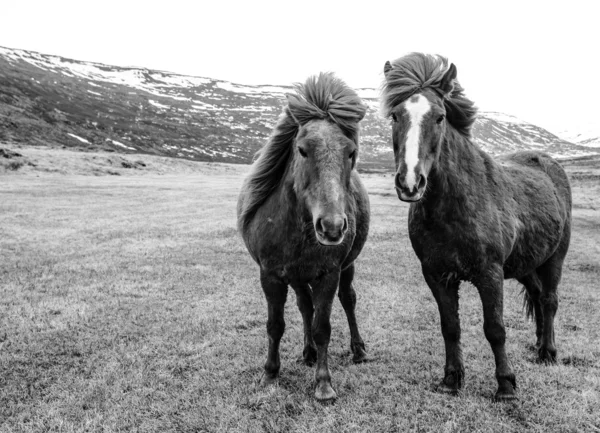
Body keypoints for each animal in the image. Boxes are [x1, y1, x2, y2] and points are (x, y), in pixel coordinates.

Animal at [236, 72, 368, 400]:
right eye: (302, 149)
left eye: (351, 152)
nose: (332, 227)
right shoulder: (270, 275)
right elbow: (275, 325)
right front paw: (270, 375)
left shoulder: (329, 274)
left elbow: (323, 327)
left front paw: (323, 383)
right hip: (295, 276)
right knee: (304, 306)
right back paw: (308, 353)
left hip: (346, 267)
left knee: (348, 300)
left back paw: (358, 350)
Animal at [382, 54, 568, 402]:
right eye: (395, 115)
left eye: (440, 117)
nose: (410, 183)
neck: (455, 207)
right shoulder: (436, 274)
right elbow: (450, 326)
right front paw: (451, 380)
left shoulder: (489, 273)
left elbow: (494, 329)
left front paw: (506, 386)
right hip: (525, 264)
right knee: (538, 296)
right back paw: (538, 344)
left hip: (555, 258)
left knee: (549, 300)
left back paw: (548, 353)